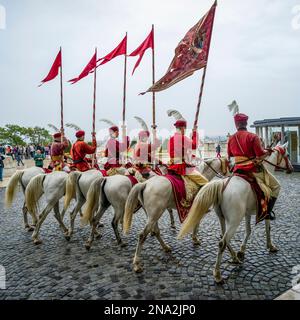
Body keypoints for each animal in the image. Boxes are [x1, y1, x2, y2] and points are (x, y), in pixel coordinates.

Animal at [178, 142, 292, 282]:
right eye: (287, 155)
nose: (291, 168)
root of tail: (222, 185)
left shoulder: (247, 213)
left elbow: (248, 230)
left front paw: (242, 251)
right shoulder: (265, 211)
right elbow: (268, 228)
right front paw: (270, 245)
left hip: (222, 218)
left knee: (223, 237)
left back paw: (234, 257)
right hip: (234, 221)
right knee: (222, 242)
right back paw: (218, 274)